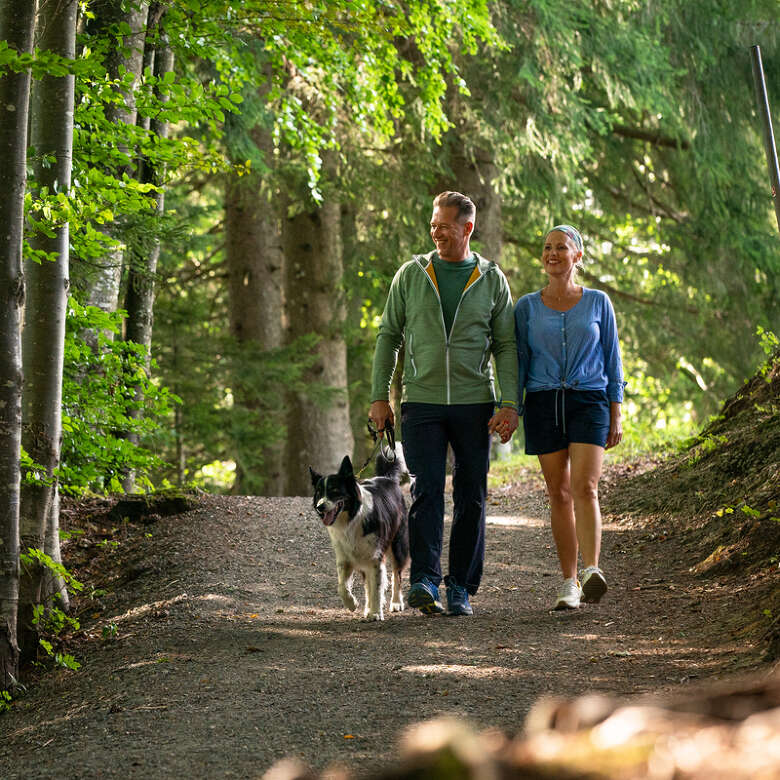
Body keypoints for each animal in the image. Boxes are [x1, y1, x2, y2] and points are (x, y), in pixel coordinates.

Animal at [310, 450, 412, 620]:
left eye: (334, 490)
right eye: (318, 493)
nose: (320, 507)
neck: (351, 519)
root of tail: (387, 478)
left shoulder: (375, 557)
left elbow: (377, 587)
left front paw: (376, 612)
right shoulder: (345, 558)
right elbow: (342, 586)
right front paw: (353, 604)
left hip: (396, 544)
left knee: (396, 574)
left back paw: (396, 603)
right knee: (369, 584)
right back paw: (368, 608)